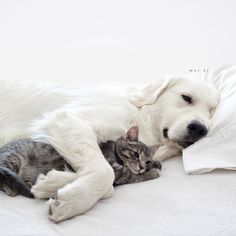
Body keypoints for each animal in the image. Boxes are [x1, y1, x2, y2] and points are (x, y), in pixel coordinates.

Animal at [0, 126, 160, 198]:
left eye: (147, 161)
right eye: (135, 154)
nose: (142, 166)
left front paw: (155, 164)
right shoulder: (116, 170)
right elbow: (132, 175)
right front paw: (153, 173)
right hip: (14, 158)